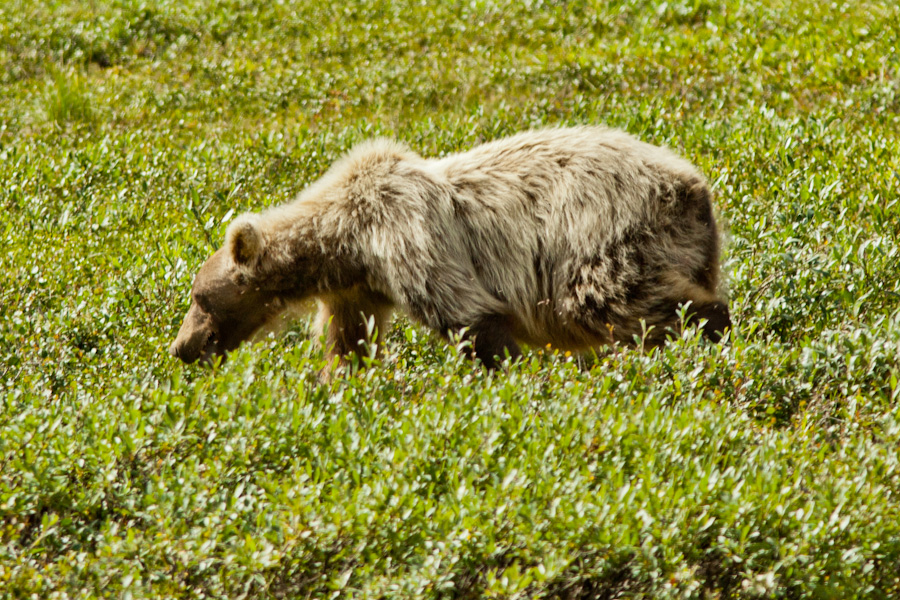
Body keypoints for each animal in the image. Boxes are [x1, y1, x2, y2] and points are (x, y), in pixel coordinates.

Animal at [171, 127, 732, 370]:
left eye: (198, 298)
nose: (181, 348)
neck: (347, 241)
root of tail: (694, 187)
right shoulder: (358, 289)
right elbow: (349, 341)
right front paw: (342, 381)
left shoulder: (407, 231)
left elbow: (469, 315)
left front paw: (508, 370)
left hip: (605, 235)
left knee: (615, 298)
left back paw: (713, 332)